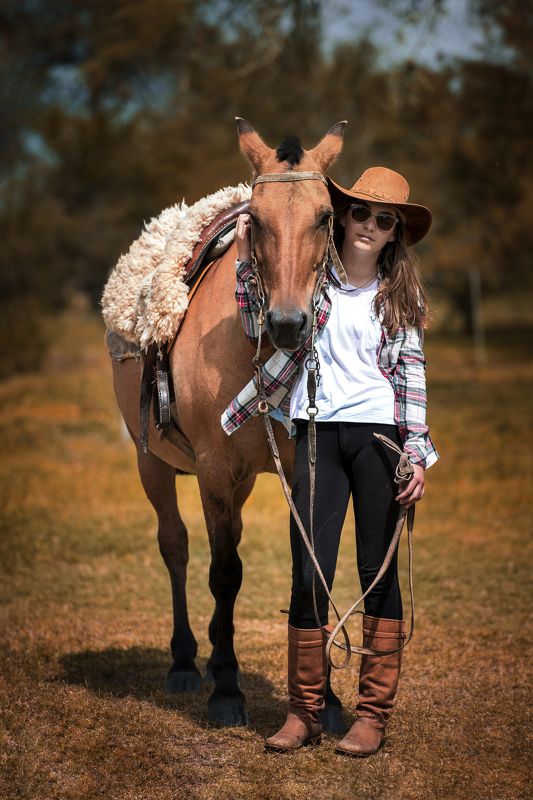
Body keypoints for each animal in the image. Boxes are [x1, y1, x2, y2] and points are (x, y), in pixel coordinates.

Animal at [110, 118, 347, 726]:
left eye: (325, 216)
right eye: (255, 219)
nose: (289, 324)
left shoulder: (301, 472)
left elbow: (309, 571)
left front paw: (328, 699)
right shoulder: (214, 469)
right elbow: (224, 572)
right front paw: (228, 692)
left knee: (228, 539)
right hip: (151, 460)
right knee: (177, 545)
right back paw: (187, 663)